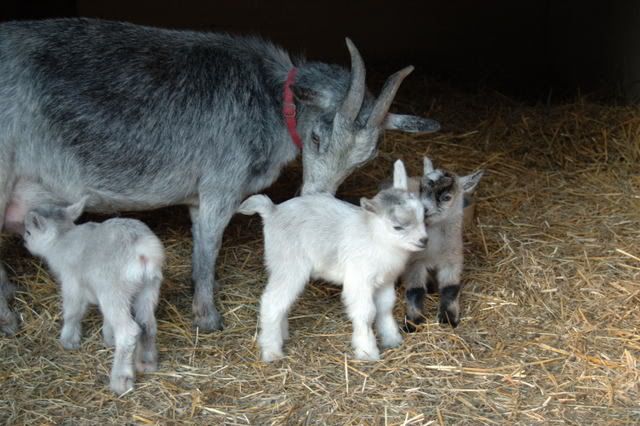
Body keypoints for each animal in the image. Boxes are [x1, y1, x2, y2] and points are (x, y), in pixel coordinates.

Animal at [0, 18, 439, 334]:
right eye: (316, 137)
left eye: (364, 160)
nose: (316, 195)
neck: (270, 101)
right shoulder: (220, 186)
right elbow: (209, 249)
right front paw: (208, 319)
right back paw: (9, 320)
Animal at [22, 198, 165, 395]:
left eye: (29, 232)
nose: (24, 242)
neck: (61, 240)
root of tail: (142, 248)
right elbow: (106, 319)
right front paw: (109, 338)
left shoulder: (72, 282)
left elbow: (72, 312)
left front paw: (68, 340)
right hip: (148, 287)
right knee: (147, 324)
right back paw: (146, 363)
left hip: (114, 288)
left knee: (129, 331)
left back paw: (121, 381)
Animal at [238, 160, 427, 361]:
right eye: (397, 227)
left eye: (423, 216)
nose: (424, 240)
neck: (374, 236)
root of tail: (272, 211)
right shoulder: (359, 280)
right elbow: (366, 313)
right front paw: (367, 352)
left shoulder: (385, 280)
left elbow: (385, 307)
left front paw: (392, 339)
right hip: (289, 264)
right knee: (271, 301)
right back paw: (272, 351)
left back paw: (282, 335)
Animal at [403, 157, 483, 330]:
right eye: (421, 189)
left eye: (447, 197)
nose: (423, 209)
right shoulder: (414, 261)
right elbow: (415, 290)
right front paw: (412, 322)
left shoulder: (452, 259)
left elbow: (451, 289)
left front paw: (449, 318)